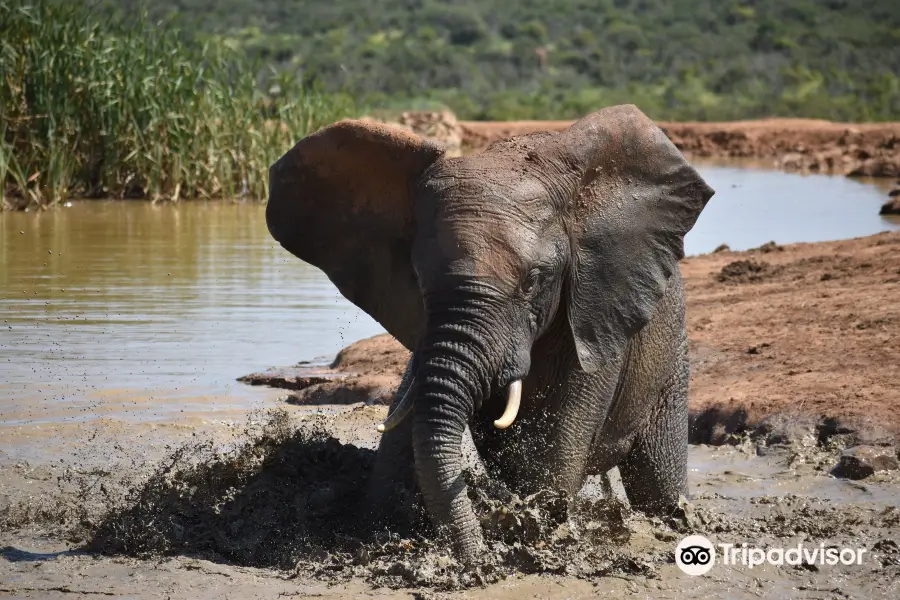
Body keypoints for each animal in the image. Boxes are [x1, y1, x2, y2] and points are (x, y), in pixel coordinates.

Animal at [264, 104, 712, 568]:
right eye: (417, 278)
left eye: (533, 281)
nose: (474, 560)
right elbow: (411, 418)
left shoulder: (594, 312)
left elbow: (556, 450)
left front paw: (534, 531)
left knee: (658, 472)